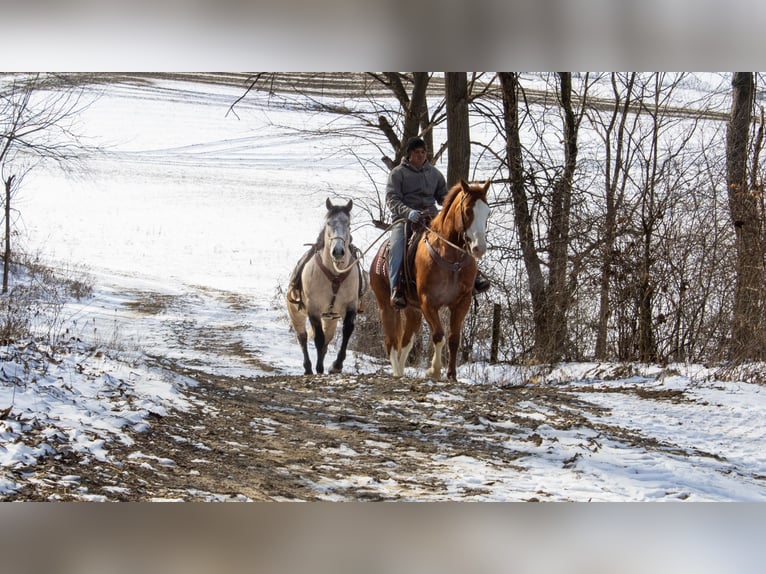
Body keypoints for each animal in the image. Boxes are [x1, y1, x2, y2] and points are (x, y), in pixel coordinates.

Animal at [370, 180, 492, 382]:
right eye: (468, 211)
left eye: (488, 212)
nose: (479, 248)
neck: (451, 257)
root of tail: (377, 258)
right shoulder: (429, 303)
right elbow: (438, 335)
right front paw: (433, 371)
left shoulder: (462, 302)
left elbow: (453, 338)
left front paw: (451, 375)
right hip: (386, 306)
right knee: (391, 341)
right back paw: (396, 373)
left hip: (413, 311)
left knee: (405, 341)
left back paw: (401, 371)